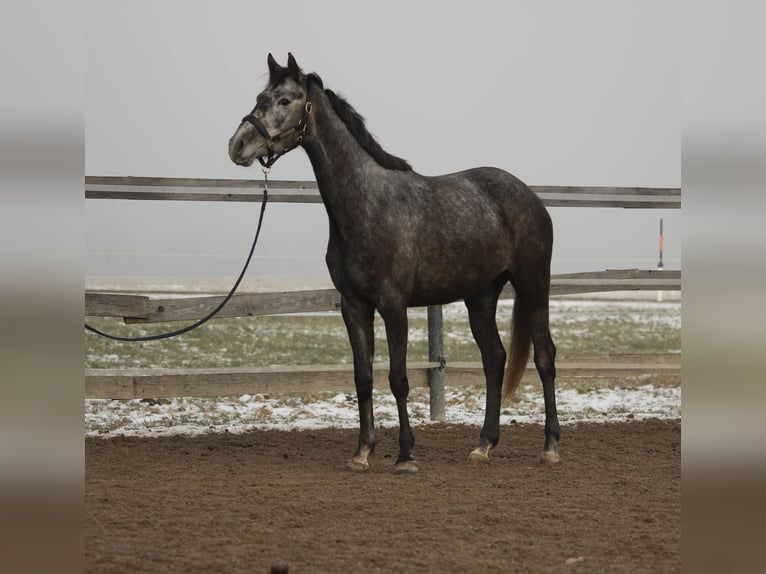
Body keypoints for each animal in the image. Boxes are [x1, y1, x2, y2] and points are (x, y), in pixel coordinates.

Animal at [231, 55, 560, 476]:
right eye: (260, 98)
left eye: (286, 100)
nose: (237, 145)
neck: (365, 205)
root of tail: (528, 197)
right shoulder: (354, 306)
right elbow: (363, 378)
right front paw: (362, 452)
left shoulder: (393, 306)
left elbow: (399, 379)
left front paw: (406, 456)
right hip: (481, 297)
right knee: (494, 360)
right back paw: (483, 445)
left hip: (533, 284)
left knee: (544, 356)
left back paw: (550, 446)